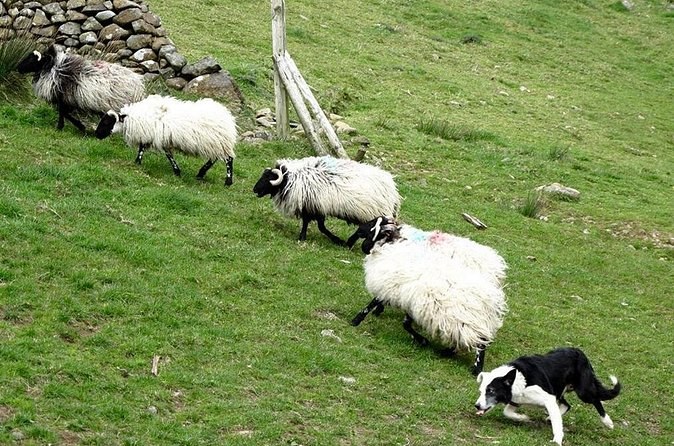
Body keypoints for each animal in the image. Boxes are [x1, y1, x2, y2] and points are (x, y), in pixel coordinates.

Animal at [16, 45, 145, 132]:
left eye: (32, 59)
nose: (18, 68)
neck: (52, 68)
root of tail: (138, 84)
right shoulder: (68, 100)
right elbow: (64, 113)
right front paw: (76, 126)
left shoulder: (64, 97)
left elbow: (63, 112)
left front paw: (67, 127)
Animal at [95, 94, 238, 186]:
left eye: (107, 122)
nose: (96, 134)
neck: (134, 118)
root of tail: (228, 117)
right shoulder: (159, 137)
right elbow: (149, 149)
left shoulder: (157, 136)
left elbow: (155, 152)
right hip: (214, 144)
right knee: (214, 159)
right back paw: (201, 173)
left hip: (219, 143)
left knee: (228, 160)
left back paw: (227, 181)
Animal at [253, 156, 401, 245]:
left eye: (268, 178)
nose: (254, 190)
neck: (290, 179)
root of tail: (393, 190)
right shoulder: (313, 207)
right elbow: (313, 225)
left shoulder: (312, 207)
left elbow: (319, 227)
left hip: (373, 212)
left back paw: (349, 243)